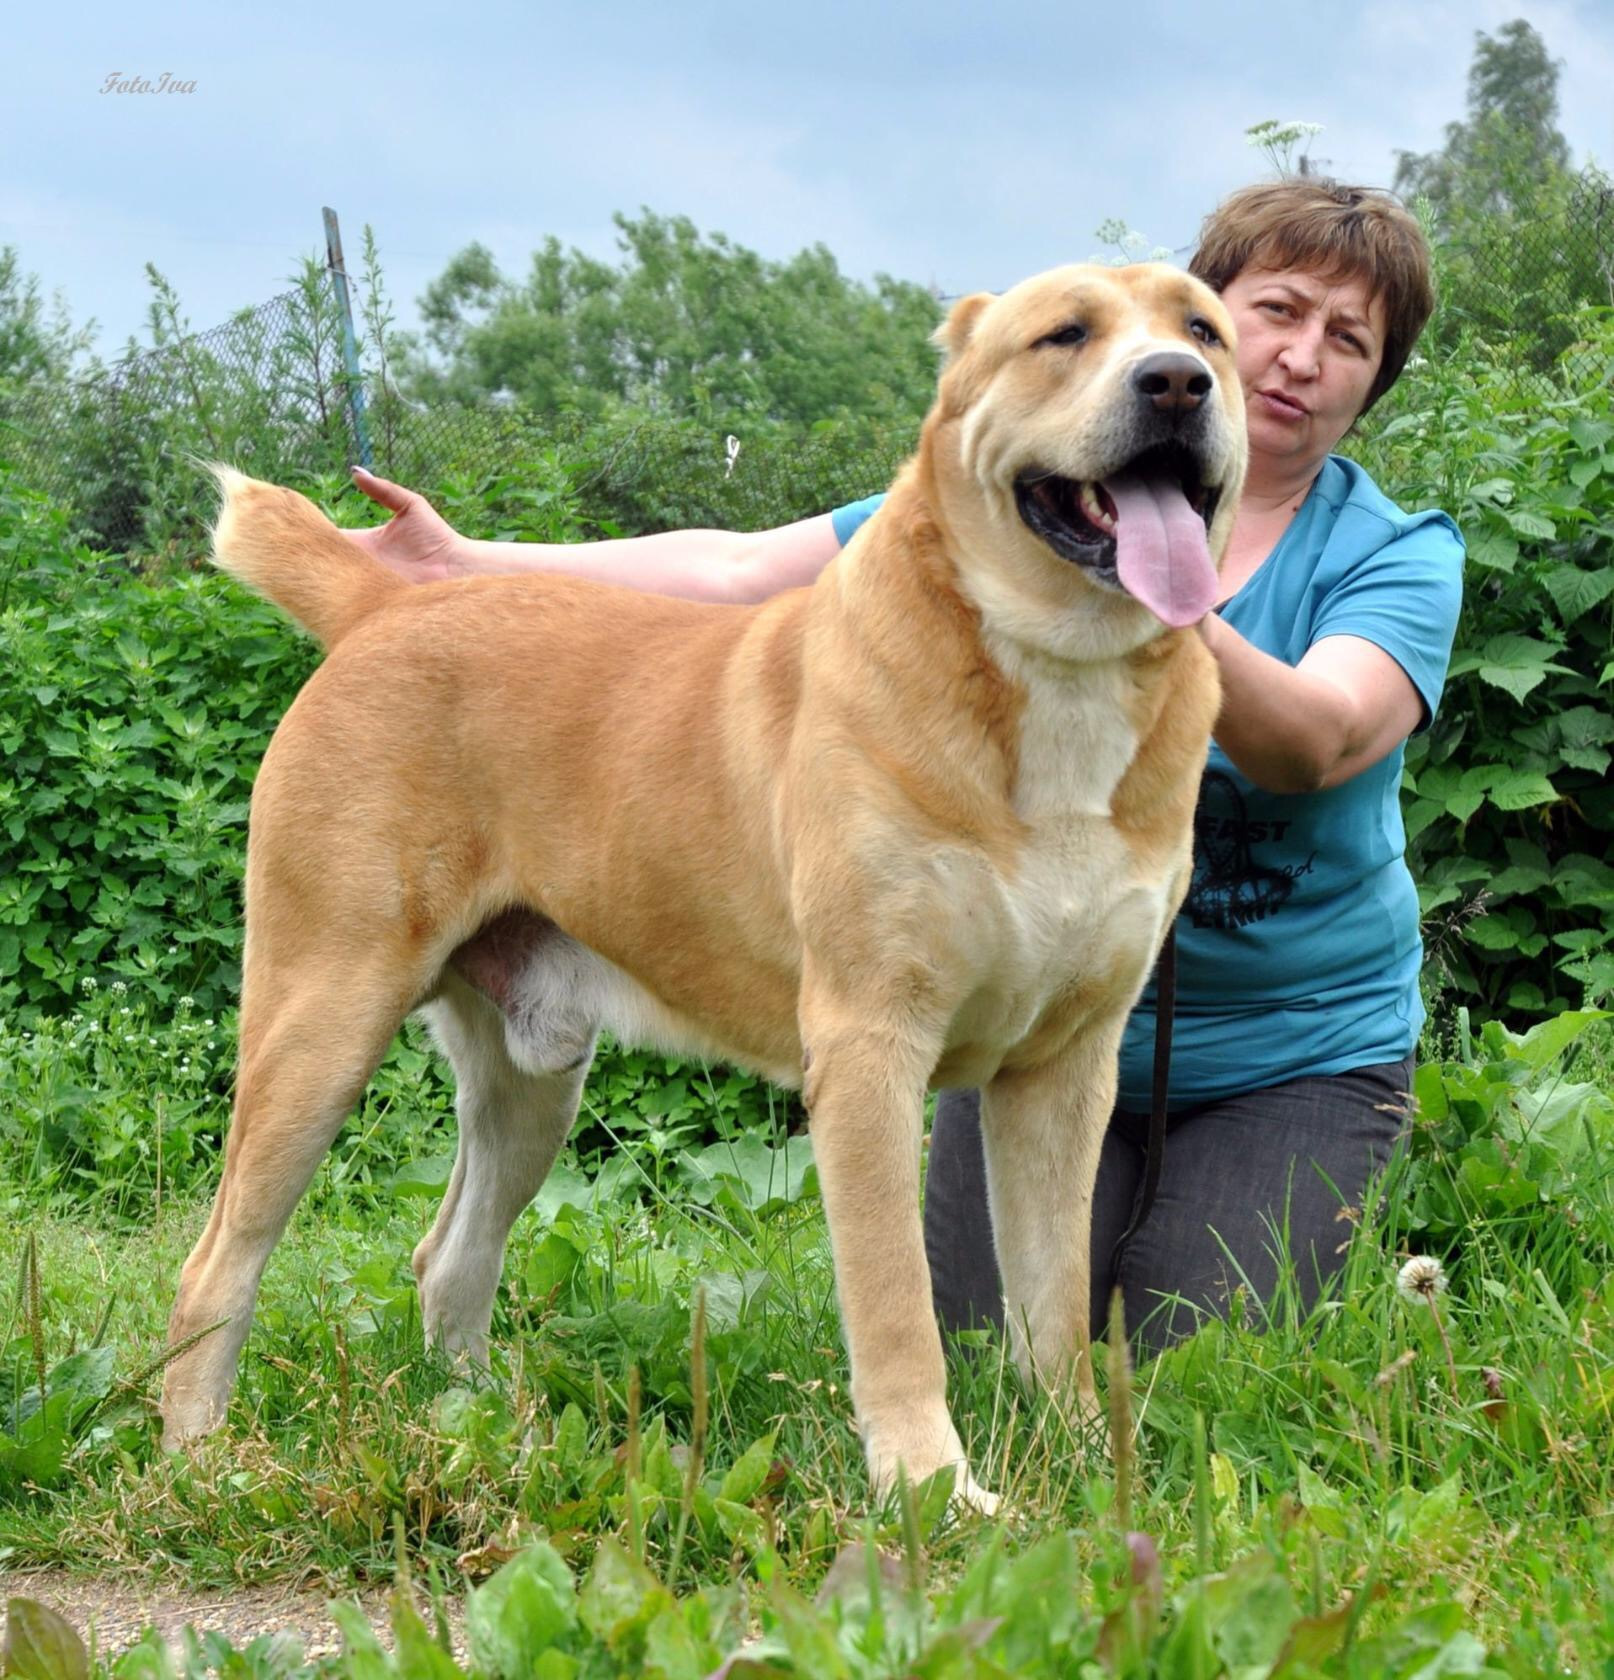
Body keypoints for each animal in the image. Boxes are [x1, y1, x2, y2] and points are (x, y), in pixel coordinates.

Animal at [163, 265, 1242, 1512]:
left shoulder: (1065, 1070)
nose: (1176, 382)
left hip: (532, 1081)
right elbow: (898, 1310)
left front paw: (1083, 1470)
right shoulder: (870, 1052)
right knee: (218, 1263)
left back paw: (493, 1440)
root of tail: (383, 605)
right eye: (1065, 334)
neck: (1058, 673)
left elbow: (1056, 1303)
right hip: (320, 1028)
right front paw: (932, 1491)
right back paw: (199, 1464)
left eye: (1204, 328)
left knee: (449, 1258)